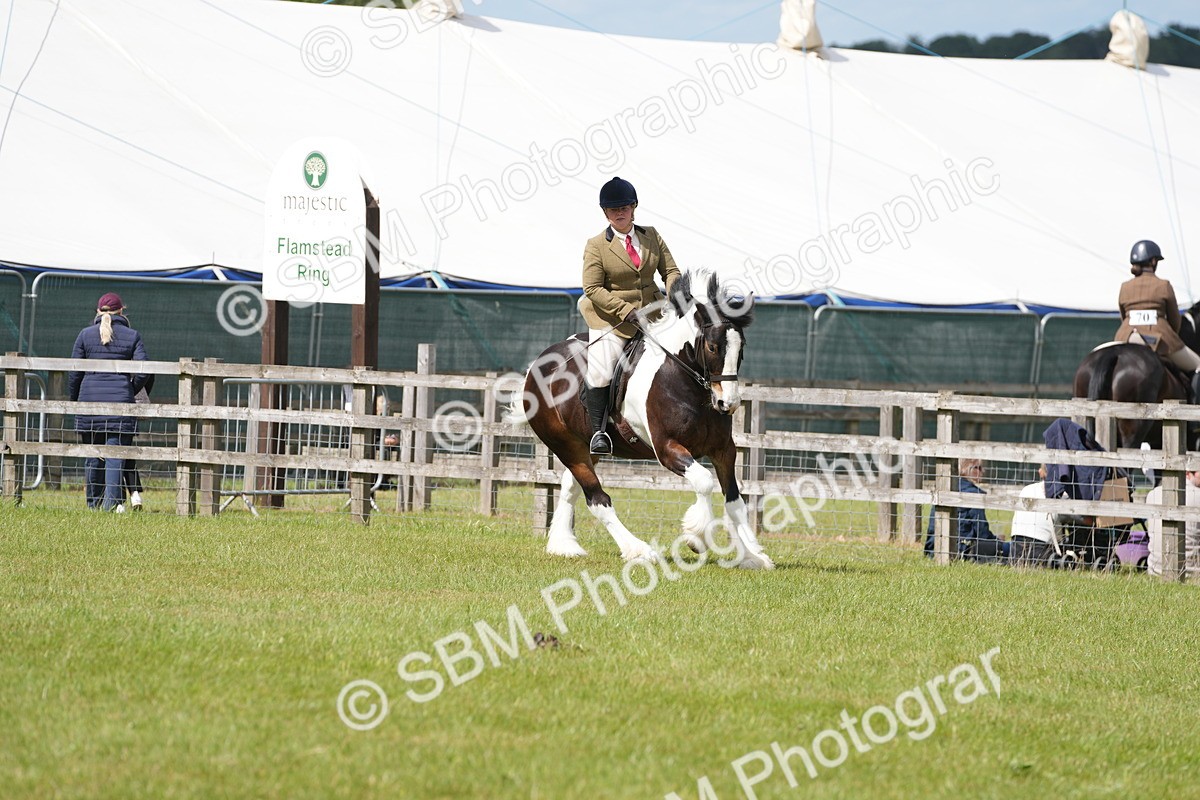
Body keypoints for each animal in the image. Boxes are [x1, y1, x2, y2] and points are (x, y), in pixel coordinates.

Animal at [515, 271, 774, 569]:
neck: (685, 383)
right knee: (597, 499)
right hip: (565, 445)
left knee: (571, 487)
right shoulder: (667, 449)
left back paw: (564, 545)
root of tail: (538, 364)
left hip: (586, 448)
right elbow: (704, 481)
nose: (727, 404)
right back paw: (638, 550)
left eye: (740, 348)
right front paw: (696, 537)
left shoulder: (724, 450)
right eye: (712, 347)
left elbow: (734, 501)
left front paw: (752, 555)